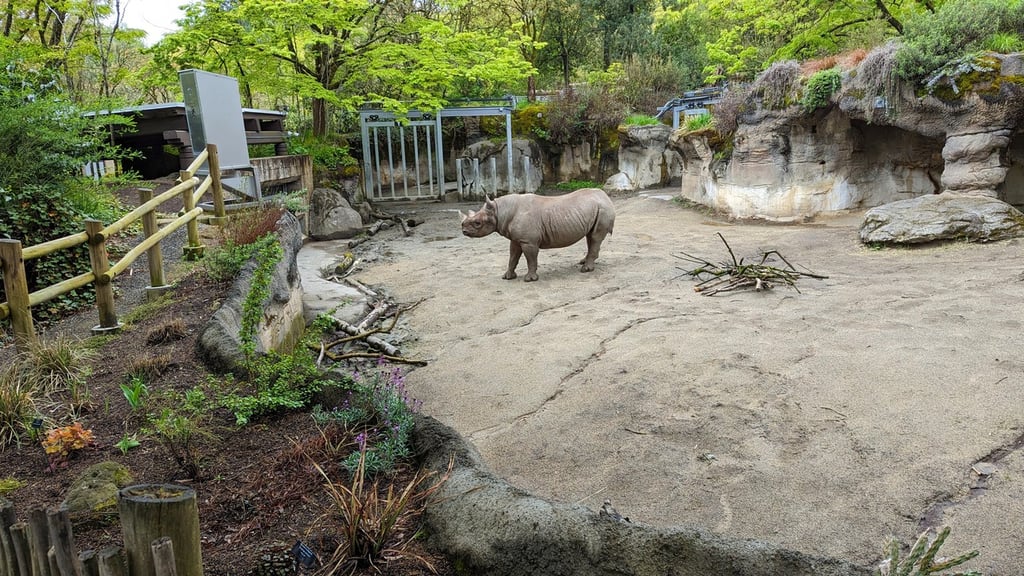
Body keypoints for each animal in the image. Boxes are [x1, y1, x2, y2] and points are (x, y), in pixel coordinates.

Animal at [460, 188, 615, 282]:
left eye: (477, 223)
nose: (464, 231)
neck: (499, 211)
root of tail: (606, 197)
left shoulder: (528, 241)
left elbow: (531, 259)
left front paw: (530, 279)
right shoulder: (516, 239)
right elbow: (513, 257)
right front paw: (507, 277)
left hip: (603, 209)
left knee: (595, 237)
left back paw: (585, 269)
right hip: (595, 209)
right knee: (590, 236)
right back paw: (583, 261)